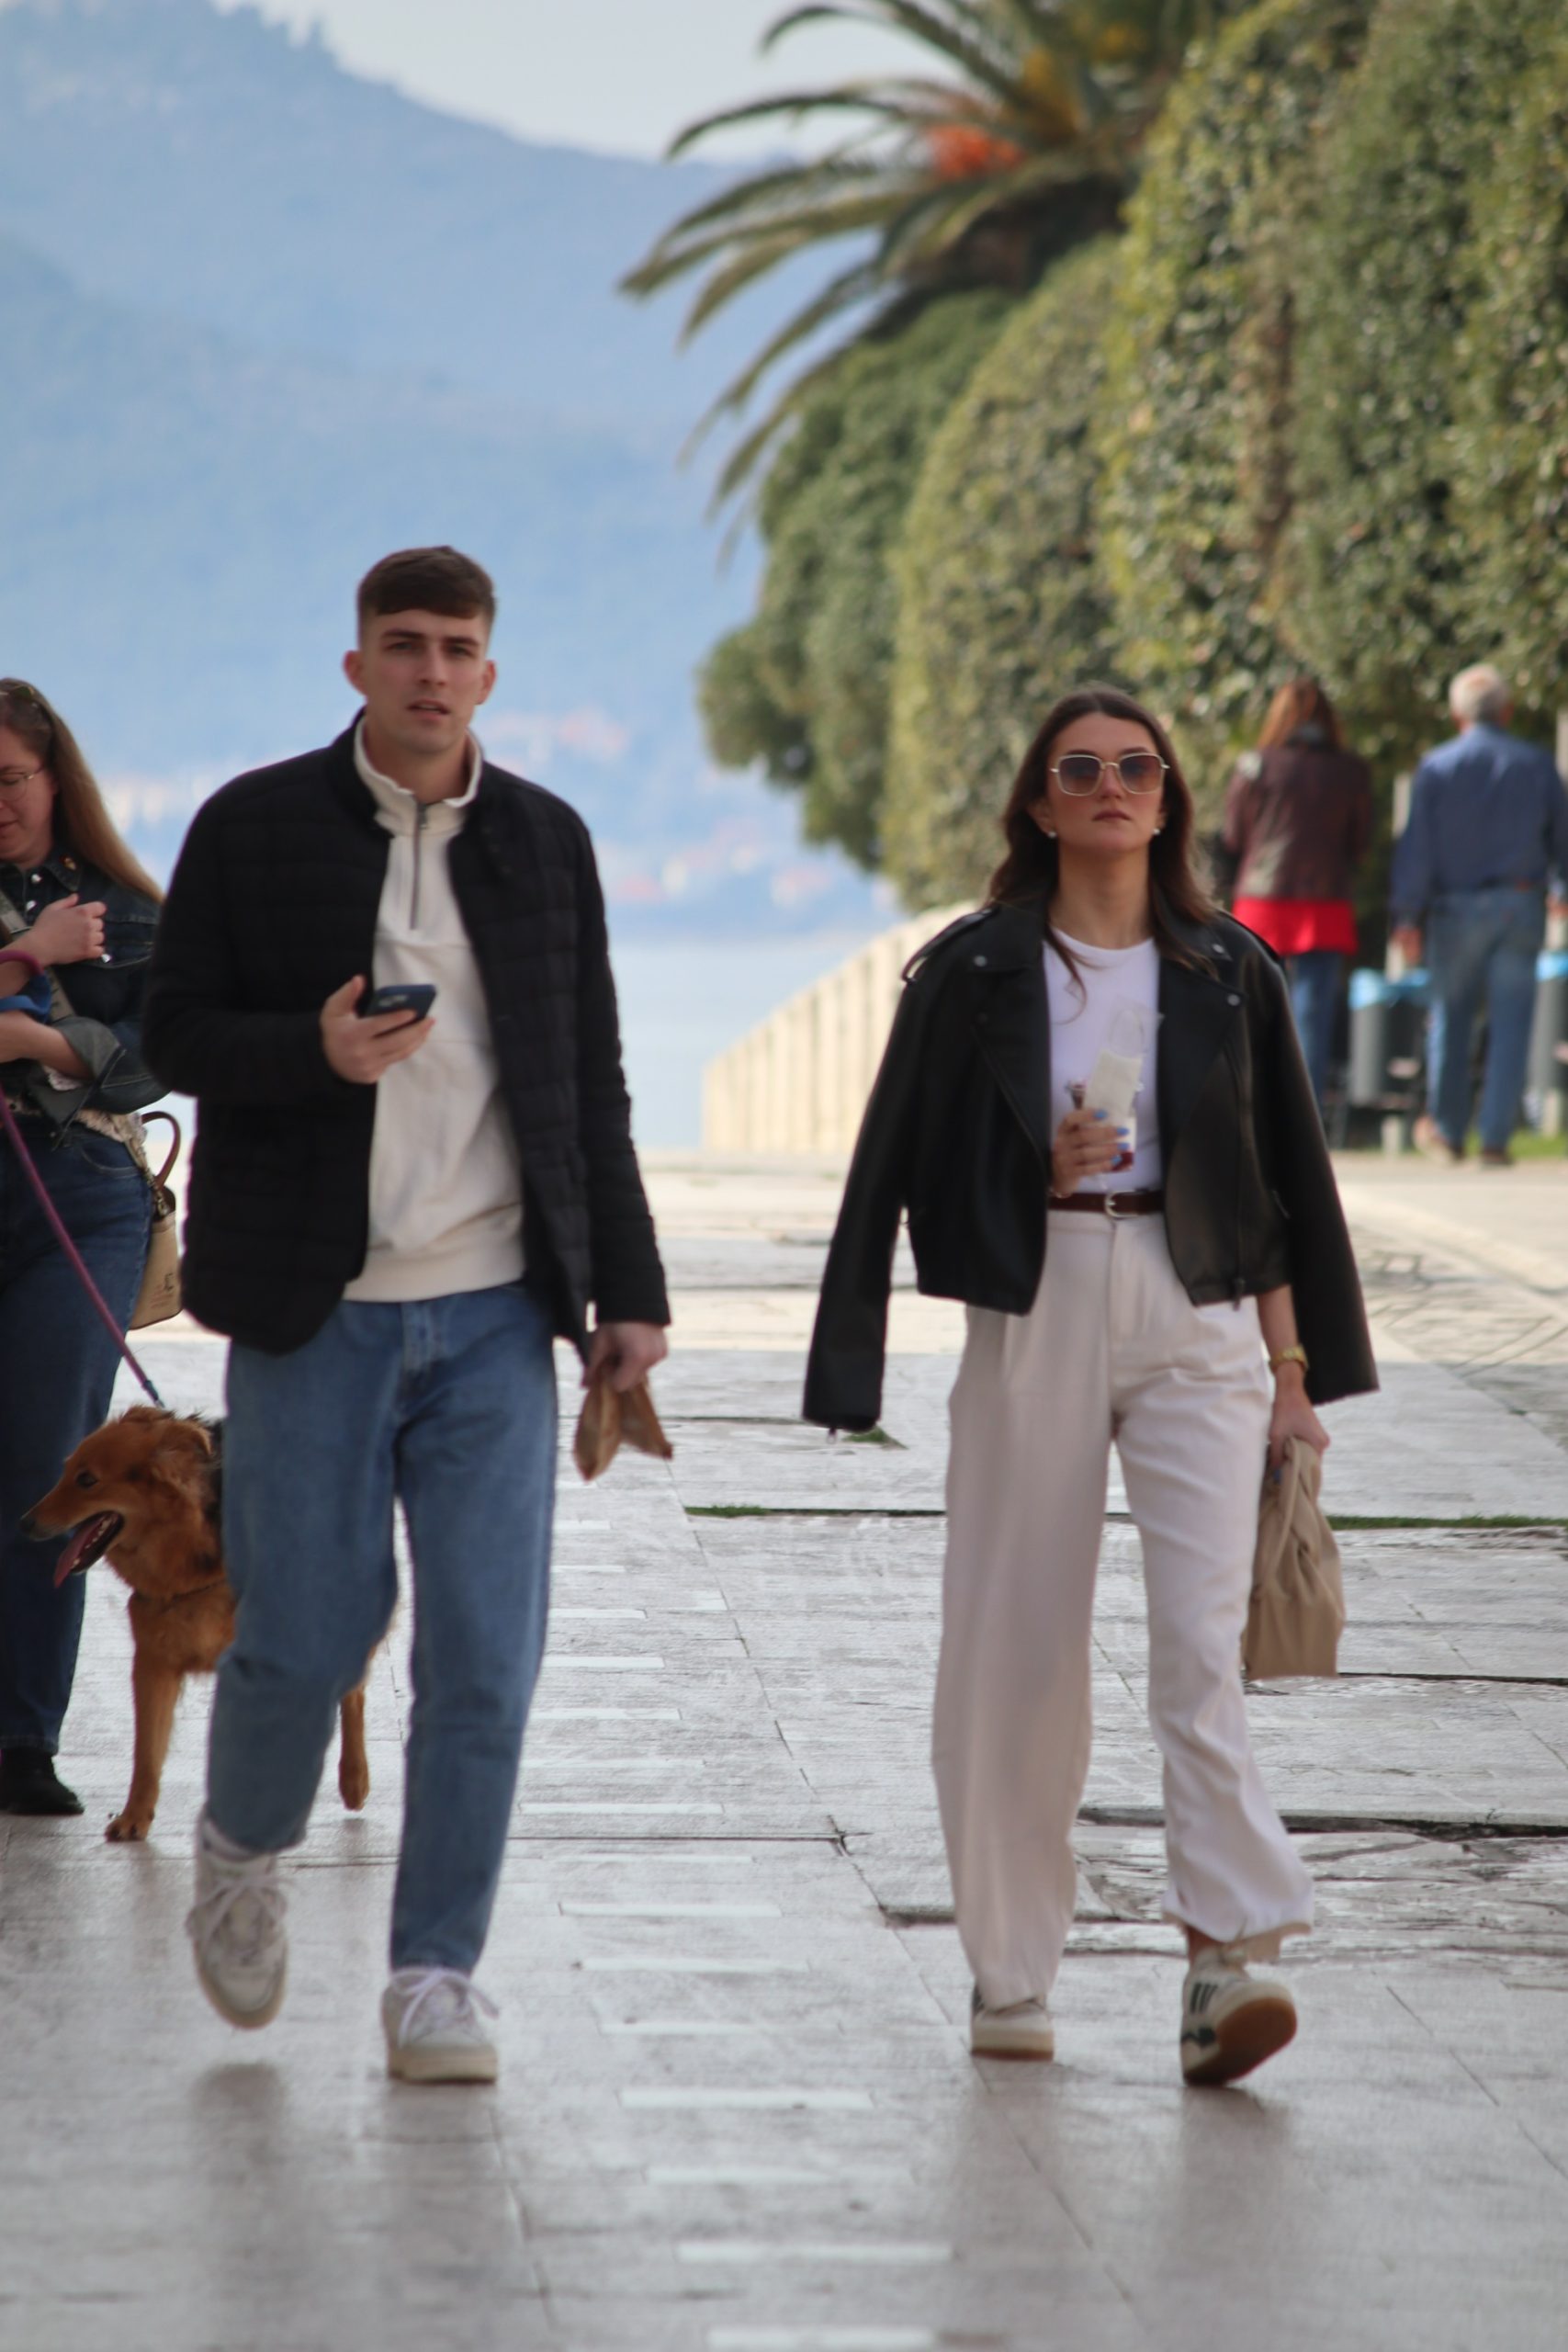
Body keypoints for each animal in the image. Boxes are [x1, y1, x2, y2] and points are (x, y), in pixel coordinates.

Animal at [23, 1406, 371, 1843]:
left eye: (87, 1480)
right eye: (67, 1471)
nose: (24, 1523)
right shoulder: (154, 1662)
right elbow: (147, 1752)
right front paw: (134, 1817)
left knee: (352, 1691)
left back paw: (354, 1779)